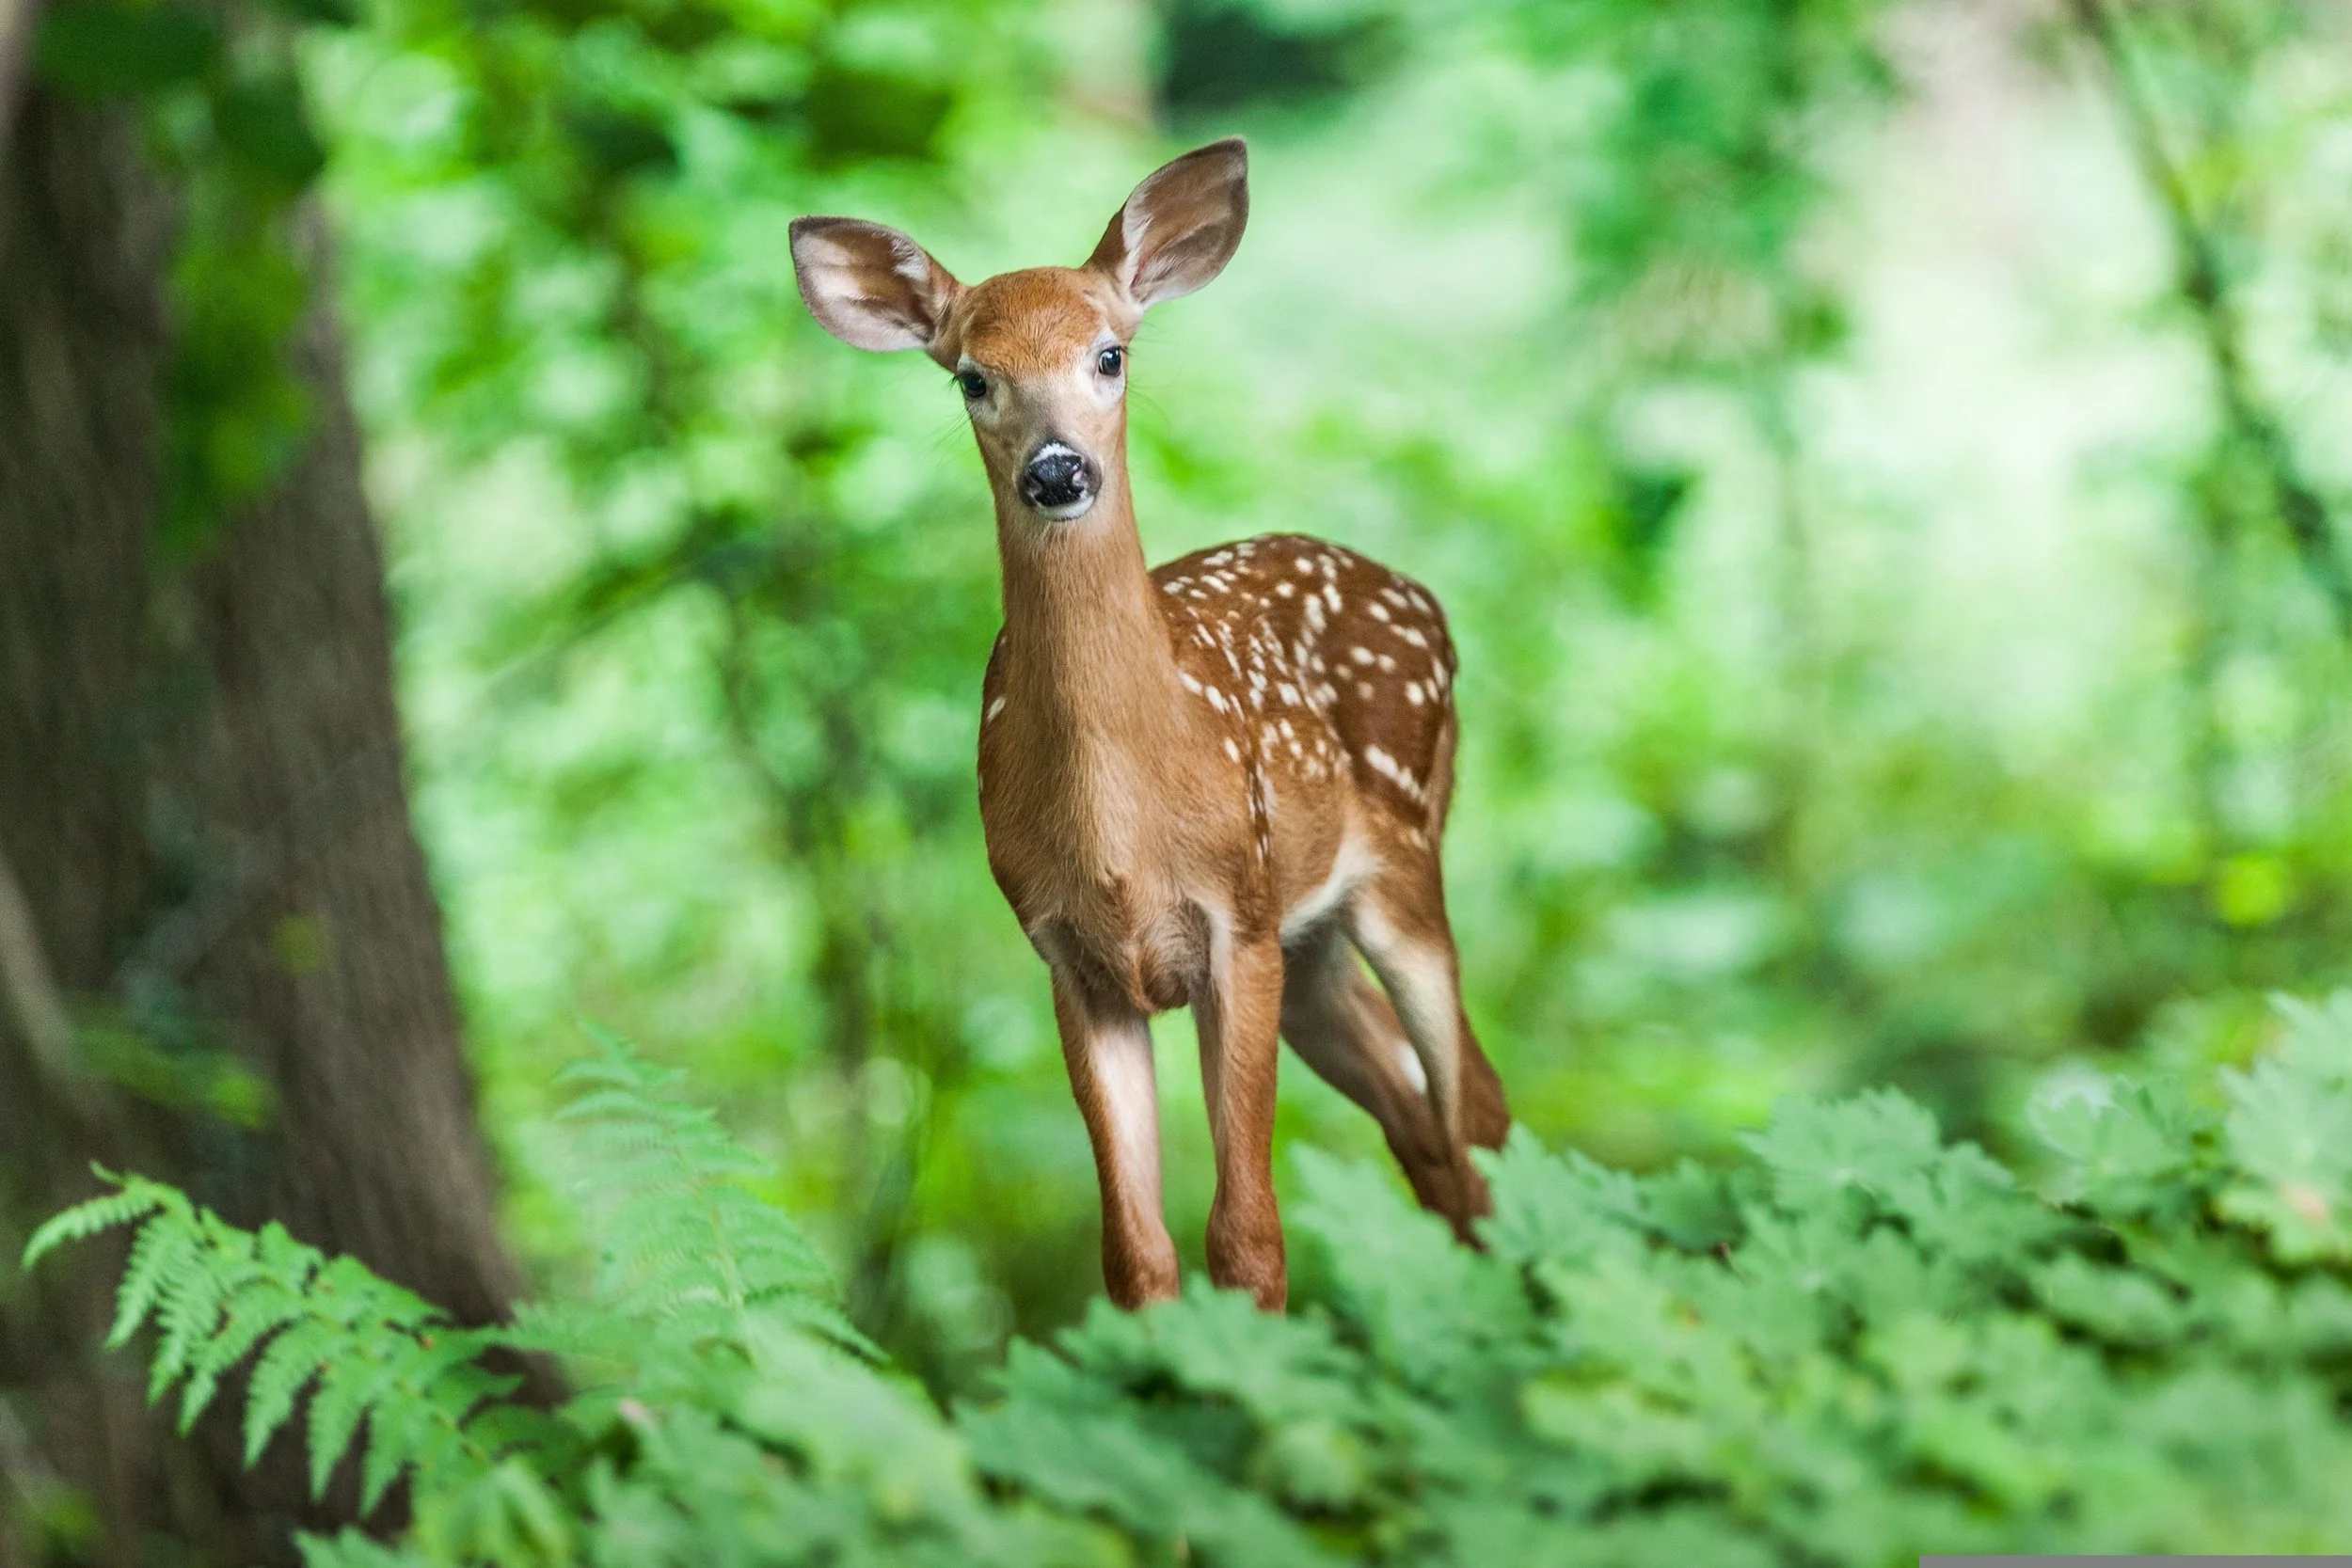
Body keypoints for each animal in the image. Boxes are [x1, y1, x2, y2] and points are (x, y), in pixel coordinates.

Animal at [789, 138, 1510, 1311]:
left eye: (1110, 354)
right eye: (971, 376)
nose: (1056, 469)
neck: (1122, 828)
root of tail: (1422, 596)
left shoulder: (1236, 920)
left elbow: (1248, 1235)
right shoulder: (1070, 958)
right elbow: (1135, 1251)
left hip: (1400, 857)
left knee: (1474, 1106)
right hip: (1313, 942)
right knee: (1421, 1123)